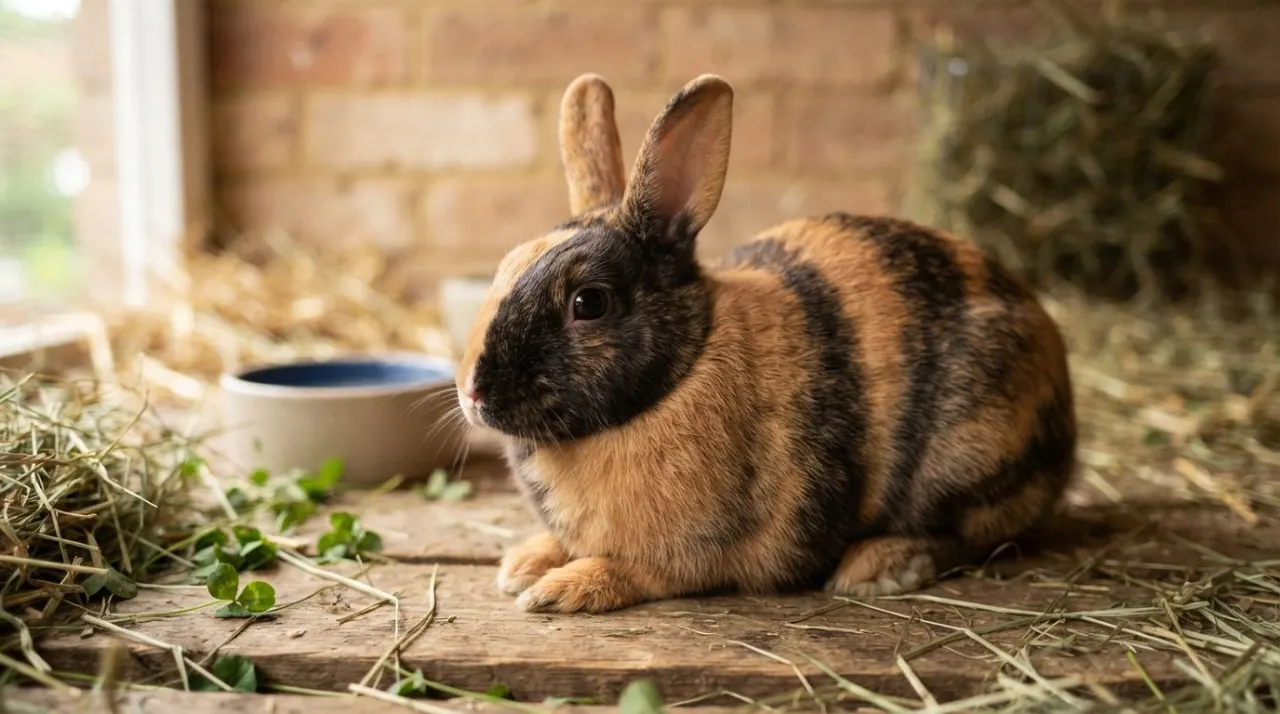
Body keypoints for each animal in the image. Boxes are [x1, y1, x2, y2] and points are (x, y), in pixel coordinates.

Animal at [454, 73, 1077, 614]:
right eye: (506, 266)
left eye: (589, 303)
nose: (472, 394)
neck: (681, 372)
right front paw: (523, 564)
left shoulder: (688, 556)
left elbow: (634, 570)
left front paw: (560, 590)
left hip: (971, 457)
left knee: (966, 535)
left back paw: (876, 567)